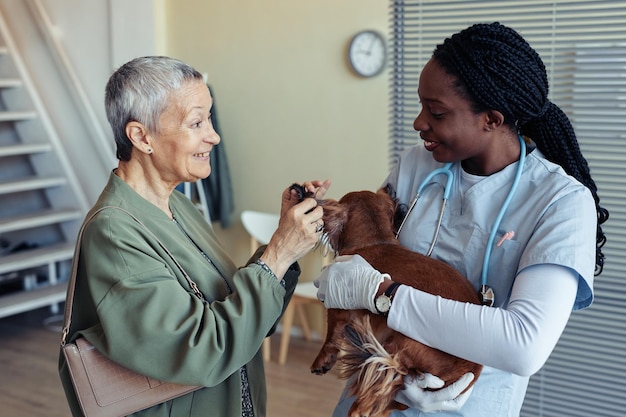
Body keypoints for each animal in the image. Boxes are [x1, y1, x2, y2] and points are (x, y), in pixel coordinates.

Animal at [310, 185, 480, 416]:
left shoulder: (336, 307)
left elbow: (331, 335)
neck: (375, 240)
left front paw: (322, 359)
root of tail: (470, 370)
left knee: (370, 398)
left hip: (397, 346)